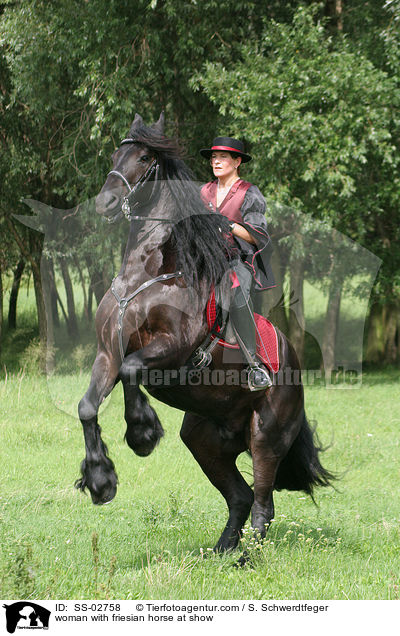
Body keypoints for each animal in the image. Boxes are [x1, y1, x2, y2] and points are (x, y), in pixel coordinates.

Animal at [76, 115, 332, 556]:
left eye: (144, 158)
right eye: (114, 155)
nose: (105, 202)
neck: (149, 275)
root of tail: (293, 363)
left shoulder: (172, 349)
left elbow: (131, 370)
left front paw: (142, 433)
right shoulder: (107, 353)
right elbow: (88, 407)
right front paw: (100, 480)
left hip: (266, 436)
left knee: (263, 504)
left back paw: (246, 559)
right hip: (205, 440)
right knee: (241, 497)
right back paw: (221, 551)